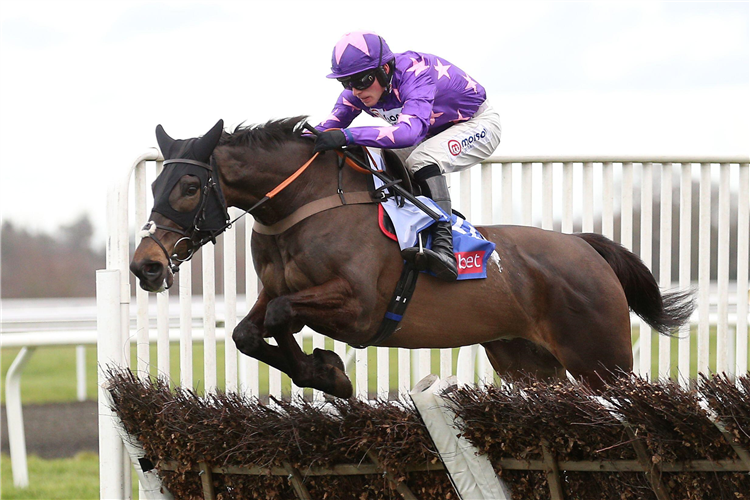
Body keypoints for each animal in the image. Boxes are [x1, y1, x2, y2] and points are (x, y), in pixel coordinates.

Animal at [131, 118, 700, 398]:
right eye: (153, 185)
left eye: (187, 187)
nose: (146, 265)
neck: (309, 205)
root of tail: (585, 247)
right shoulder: (277, 287)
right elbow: (249, 331)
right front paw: (324, 372)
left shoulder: (360, 309)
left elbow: (279, 317)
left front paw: (328, 372)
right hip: (527, 361)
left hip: (602, 358)